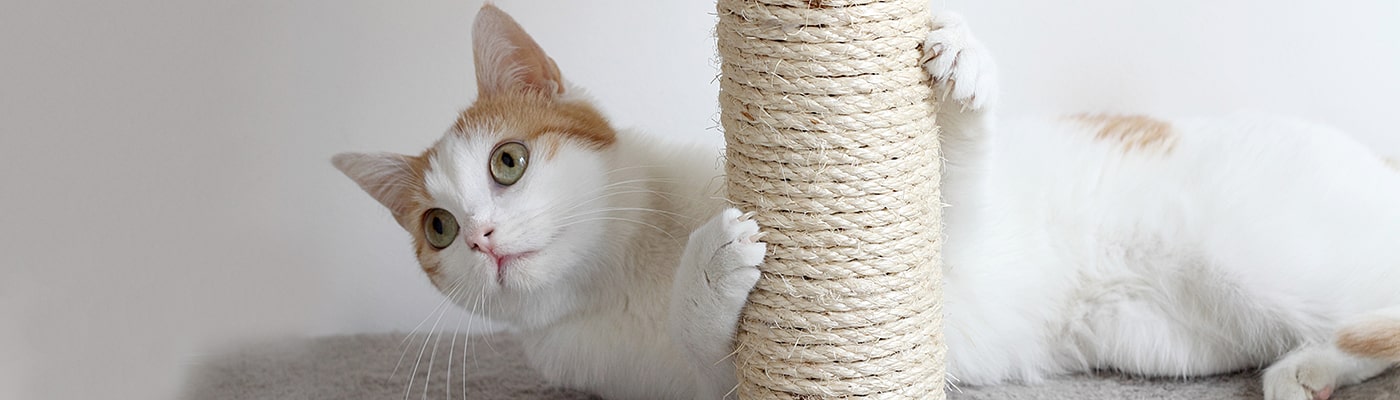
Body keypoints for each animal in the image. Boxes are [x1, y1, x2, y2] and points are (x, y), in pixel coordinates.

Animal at [330, 3, 1400, 400]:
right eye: (434, 230)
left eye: (508, 164)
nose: (482, 235)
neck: (628, 267)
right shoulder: (661, 379)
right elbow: (699, 336)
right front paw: (711, 271)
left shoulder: (953, 242)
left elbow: (956, 178)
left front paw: (963, 73)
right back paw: (1304, 373)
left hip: (1270, 261)